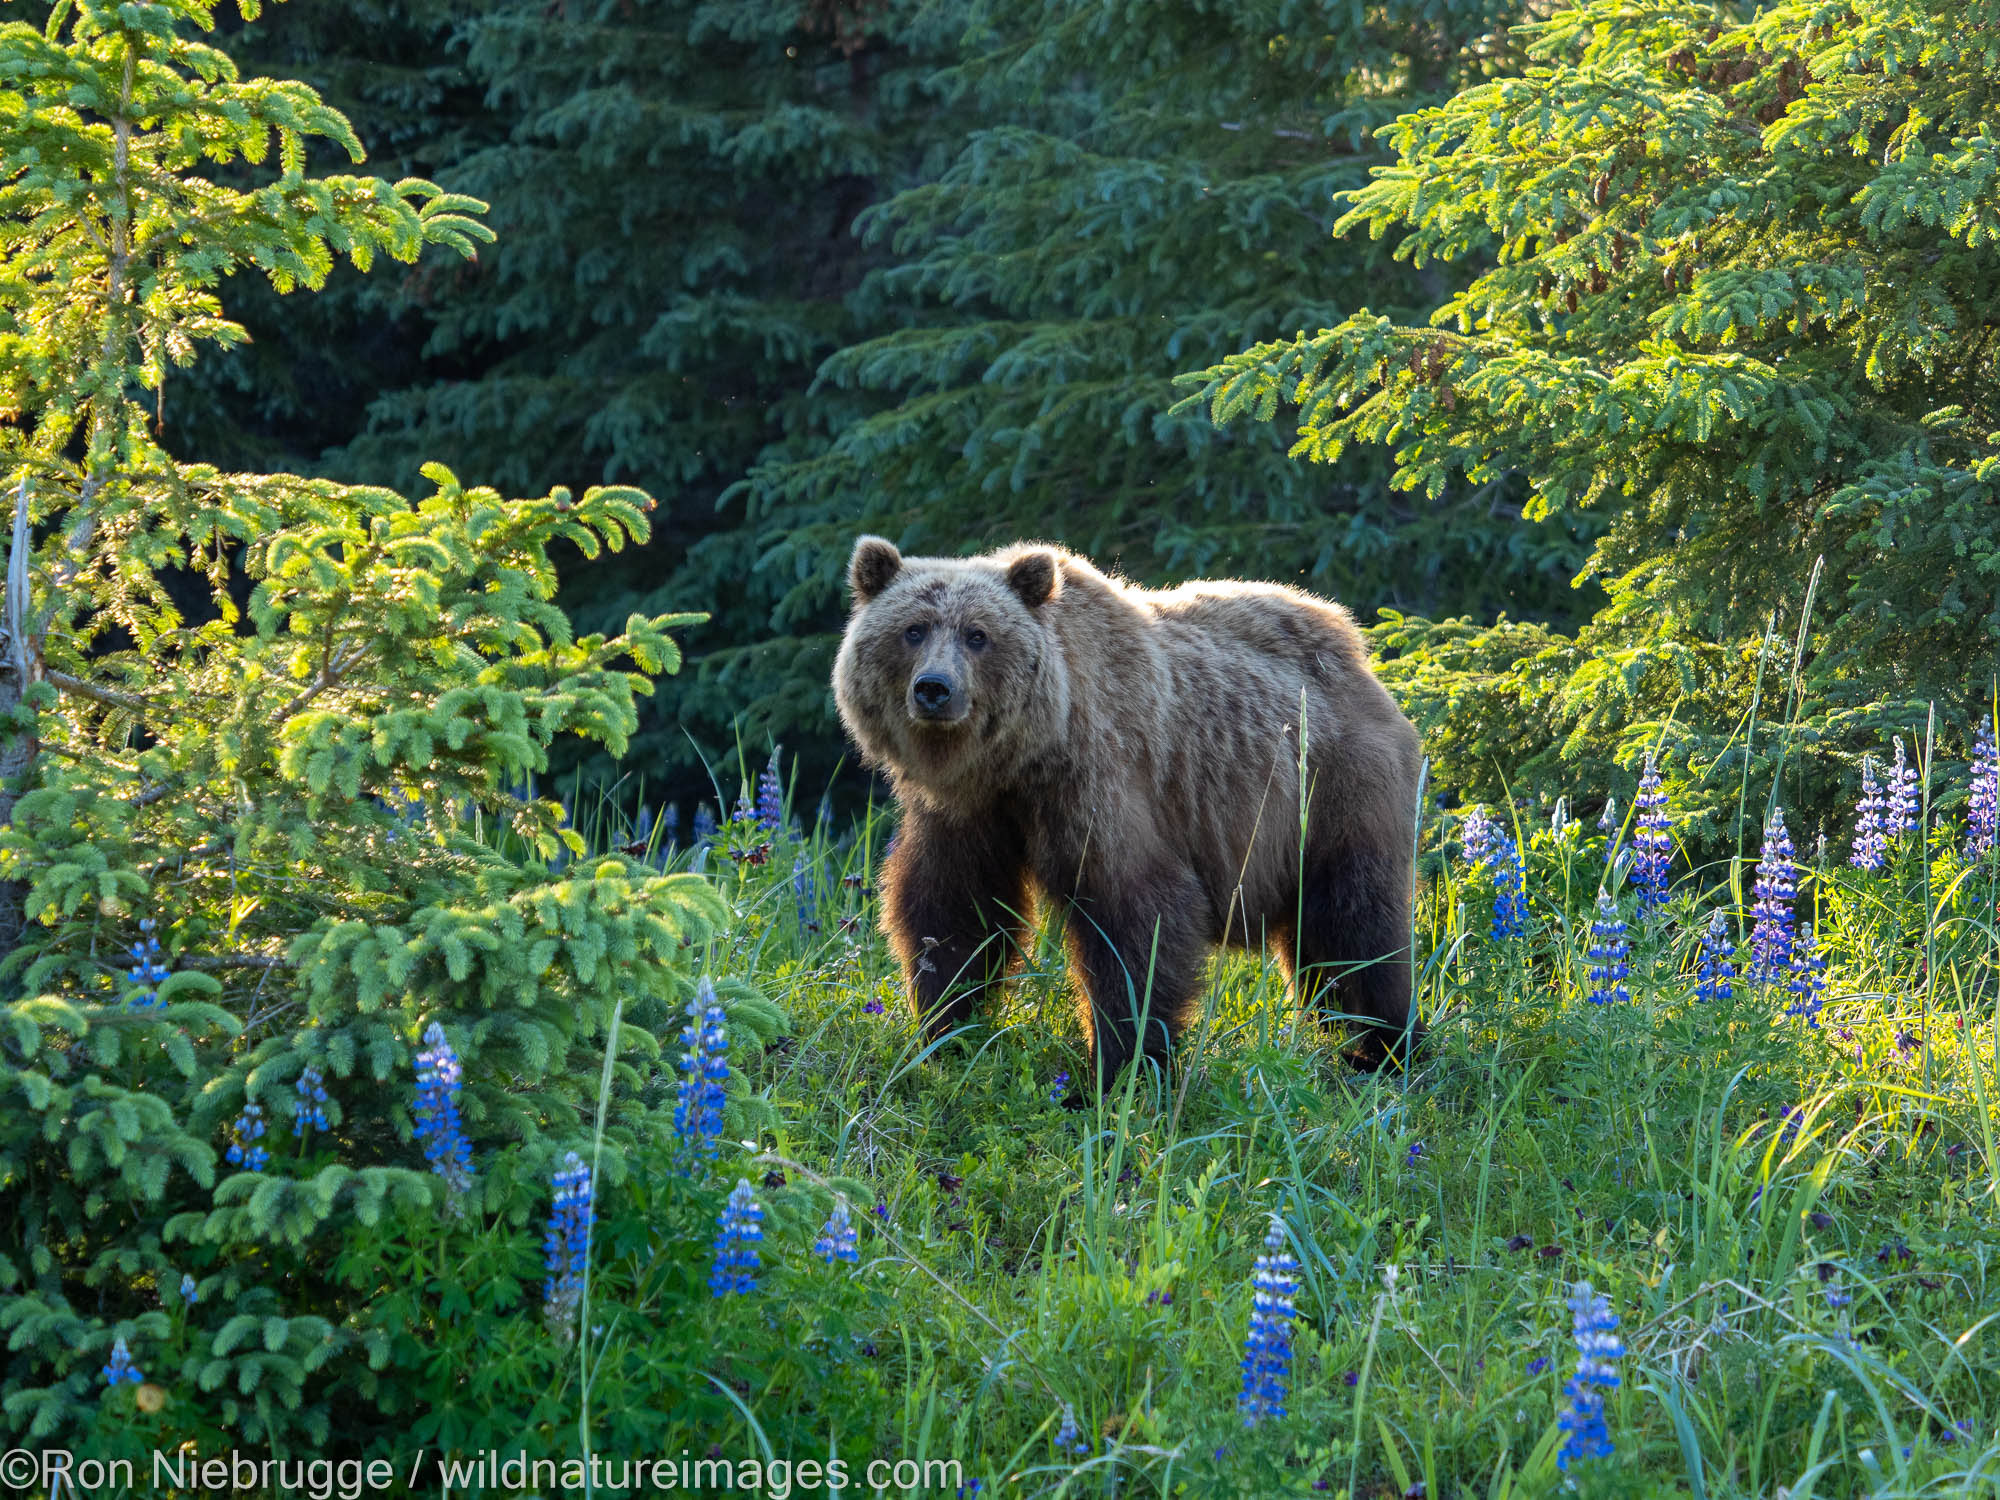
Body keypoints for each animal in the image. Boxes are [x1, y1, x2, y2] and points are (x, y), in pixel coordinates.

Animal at [828, 536, 1424, 1096]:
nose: (935, 689)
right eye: (913, 630)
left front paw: (1116, 1070)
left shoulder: (1100, 782)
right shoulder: (965, 814)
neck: (1020, 759)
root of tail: (1359, 657)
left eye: (978, 635)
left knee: (1355, 921)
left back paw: (1386, 1049)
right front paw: (943, 1030)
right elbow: (953, 910)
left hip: (1333, 790)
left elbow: (1135, 914)